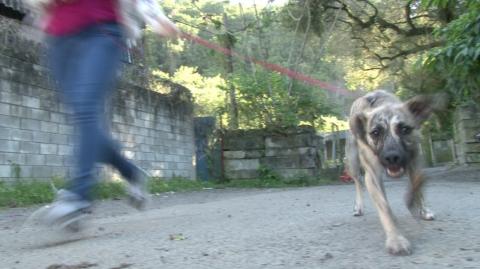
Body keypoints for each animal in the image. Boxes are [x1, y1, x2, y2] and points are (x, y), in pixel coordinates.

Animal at [344, 89, 442, 253]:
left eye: (404, 129)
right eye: (375, 132)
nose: (391, 157)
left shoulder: (415, 159)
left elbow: (418, 182)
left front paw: (418, 206)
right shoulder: (372, 175)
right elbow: (384, 208)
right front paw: (396, 239)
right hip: (353, 162)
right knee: (358, 182)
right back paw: (359, 207)